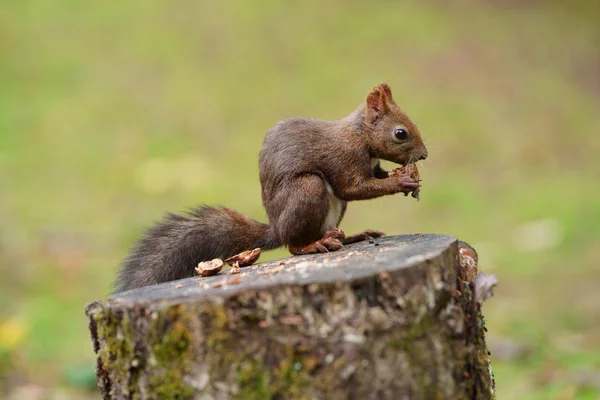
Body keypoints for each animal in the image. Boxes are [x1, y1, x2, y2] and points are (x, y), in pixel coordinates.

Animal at [113, 83, 426, 292]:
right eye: (400, 133)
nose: (423, 155)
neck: (360, 135)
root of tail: (276, 227)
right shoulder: (344, 157)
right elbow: (353, 187)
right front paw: (401, 180)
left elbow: (375, 176)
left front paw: (406, 178)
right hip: (307, 190)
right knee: (294, 246)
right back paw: (316, 244)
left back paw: (351, 237)